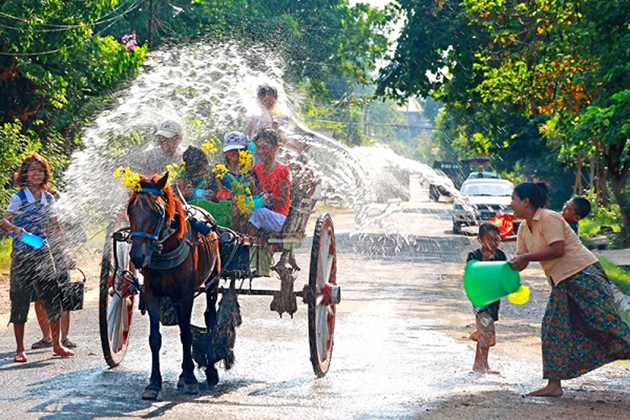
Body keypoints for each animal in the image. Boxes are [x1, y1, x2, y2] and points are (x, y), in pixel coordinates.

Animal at [124, 171, 221, 400]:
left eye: (157, 211)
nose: (137, 256)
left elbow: (186, 335)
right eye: (130, 209)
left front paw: (192, 379)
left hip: (213, 281)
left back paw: (210, 371)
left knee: (210, 318)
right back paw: (182, 376)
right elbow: (155, 339)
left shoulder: (186, 295)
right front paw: (153, 383)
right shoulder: (152, 294)